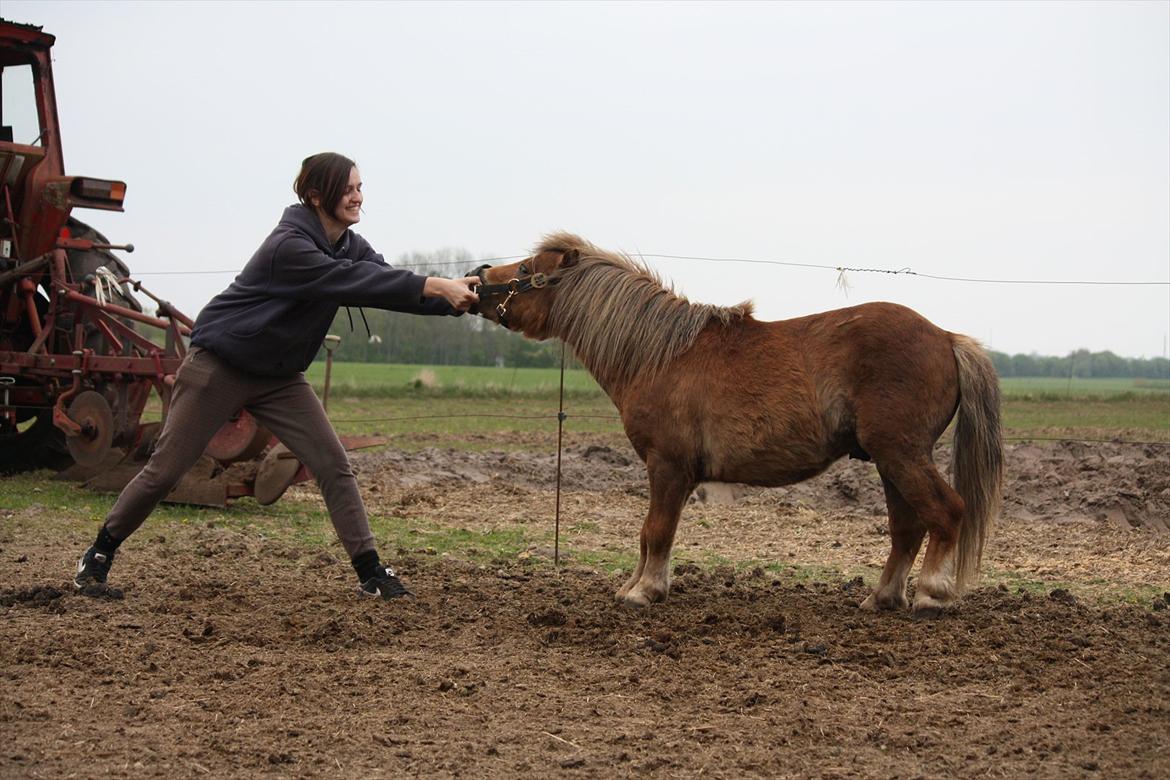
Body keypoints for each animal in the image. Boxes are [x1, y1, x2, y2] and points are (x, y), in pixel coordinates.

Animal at [475, 231, 1006, 617]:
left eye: (525, 270)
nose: (475, 280)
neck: (657, 354)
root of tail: (946, 337)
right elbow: (649, 534)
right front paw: (639, 585)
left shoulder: (668, 467)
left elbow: (656, 530)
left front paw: (644, 591)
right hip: (890, 460)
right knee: (906, 529)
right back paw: (881, 598)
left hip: (901, 453)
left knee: (946, 512)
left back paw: (932, 593)